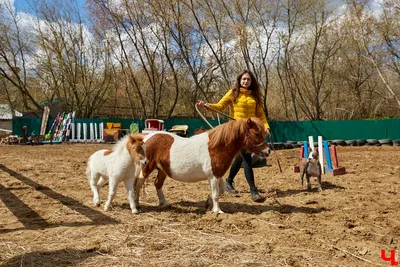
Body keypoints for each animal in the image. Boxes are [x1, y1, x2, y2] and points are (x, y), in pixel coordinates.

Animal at [139, 118, 268, 215]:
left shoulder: (217, 175)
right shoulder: (214, 176)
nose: (267, 151)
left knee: (157, 184)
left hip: (162, 170)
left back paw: (164, 203)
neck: (217, 147)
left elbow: (221, 191)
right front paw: (217, 211)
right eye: (256, 133)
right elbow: (216, 194)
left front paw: (208, 203)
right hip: (147, 168)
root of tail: (146, 138)